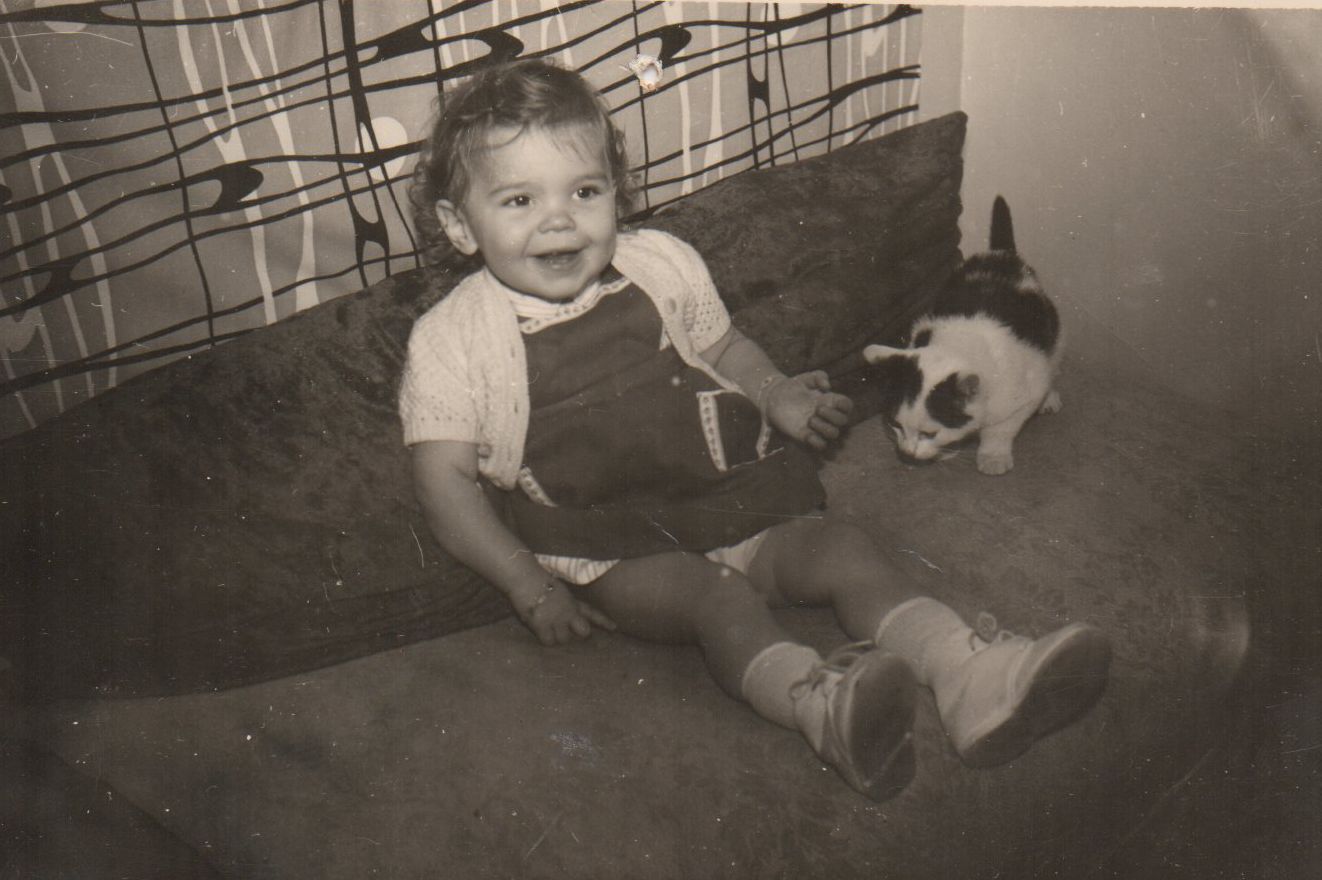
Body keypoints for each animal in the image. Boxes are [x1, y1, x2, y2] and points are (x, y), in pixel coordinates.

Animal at [863, 196, 1062, 475]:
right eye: (895, 424)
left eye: (929, 433)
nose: (907, 455)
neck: (957, 342)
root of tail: (1001, 254)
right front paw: (948, 451)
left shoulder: (1022, 396)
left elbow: (999, 430)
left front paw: (992, 455)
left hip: (1052, 330)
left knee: (1052, 360)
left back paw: (1050, 397)